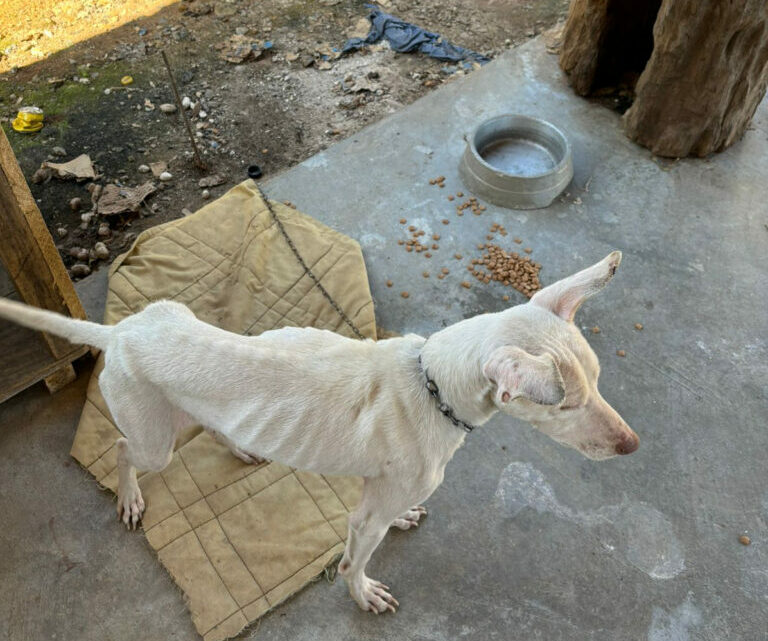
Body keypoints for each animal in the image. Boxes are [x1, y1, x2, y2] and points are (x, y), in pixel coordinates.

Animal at [0, 249, 636, 608]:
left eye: (600, 381)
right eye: (565, 406)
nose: (631, 446)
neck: (431, 381)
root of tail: (120, 333)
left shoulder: (374, 496)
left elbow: (382, 518)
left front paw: (402, 522)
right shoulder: (365, 517)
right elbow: (355, 561)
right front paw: (363, 595)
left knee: (211, 427)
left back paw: (241, 447)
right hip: (153, 441)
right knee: (123, 448)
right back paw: (130, 495)